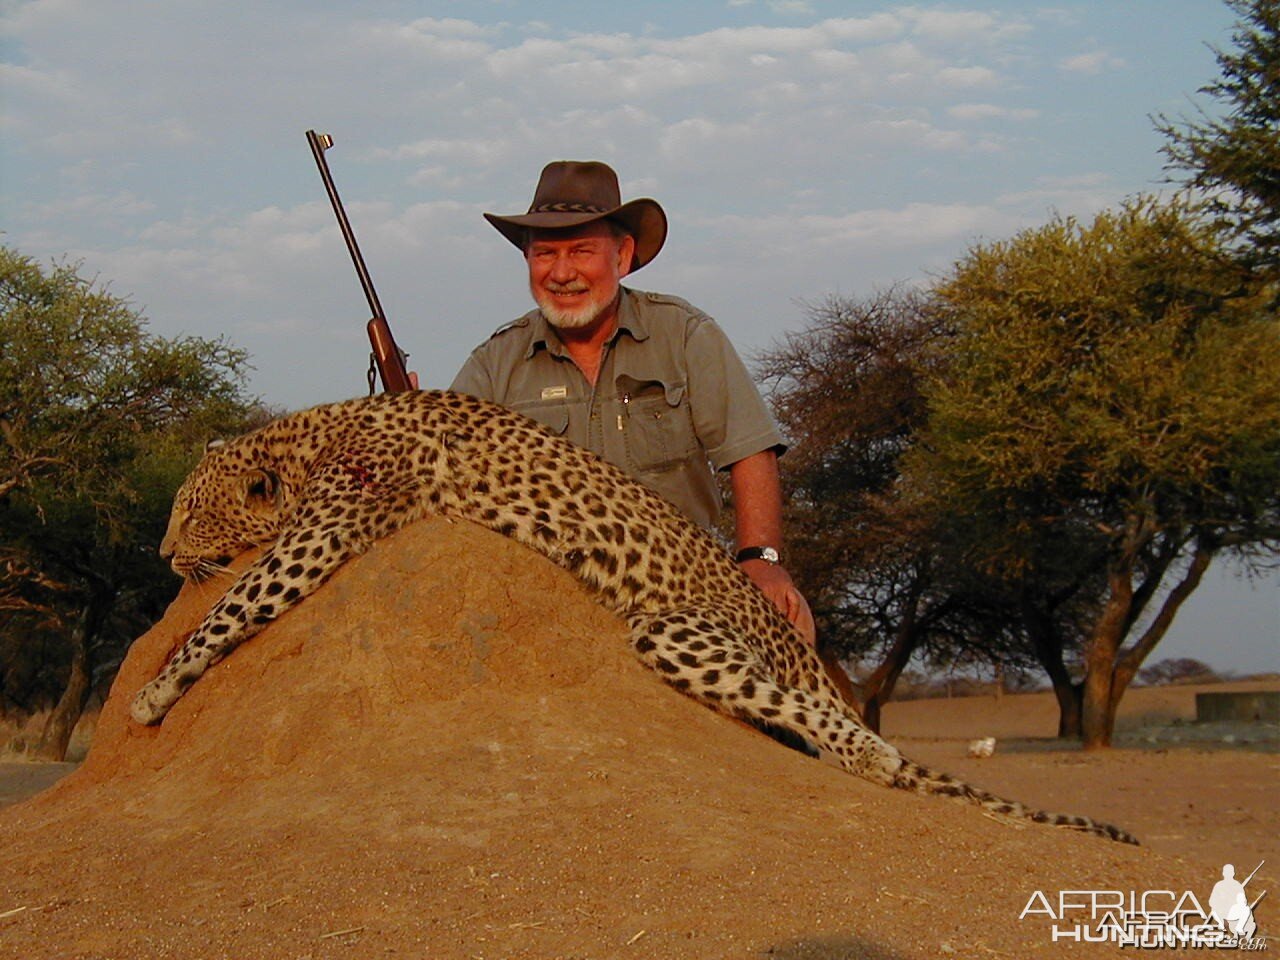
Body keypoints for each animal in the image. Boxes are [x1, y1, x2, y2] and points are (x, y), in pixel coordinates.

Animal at [132, 386, 1141, 844]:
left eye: (187, 512)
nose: (161, 556)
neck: (305, 436)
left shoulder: (327, 530)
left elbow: (234, 606)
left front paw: (154, 691)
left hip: (678, 630)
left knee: (830, 726)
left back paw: (869, 756)